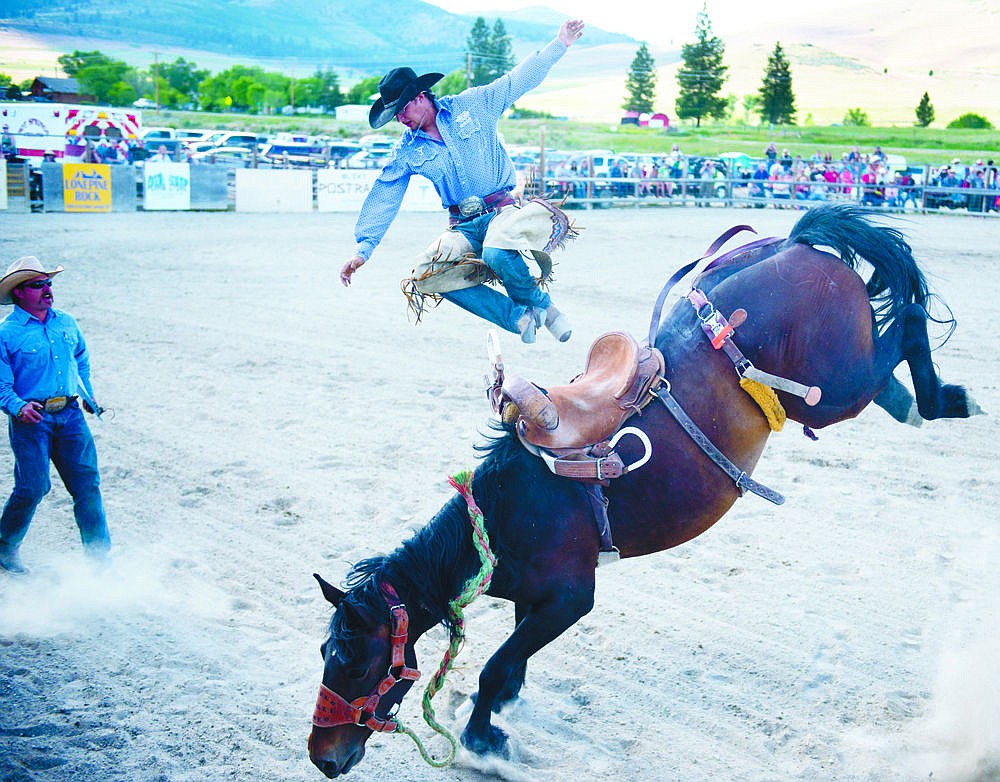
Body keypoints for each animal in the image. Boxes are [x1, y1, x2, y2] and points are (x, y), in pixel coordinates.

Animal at [306, 205, 976, 780]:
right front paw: (497, 719)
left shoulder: (570, 600)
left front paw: (482, 743)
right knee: (892, 357)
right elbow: (512, 666)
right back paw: (918, 401)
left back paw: (949, 397)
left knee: (906, 325)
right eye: (325, 653)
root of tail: (792, 243)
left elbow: (497, 668)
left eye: (353, 659)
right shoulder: (535, 599)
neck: (503, 516)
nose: (322, 757)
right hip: (830, 388)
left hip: (836, 388)